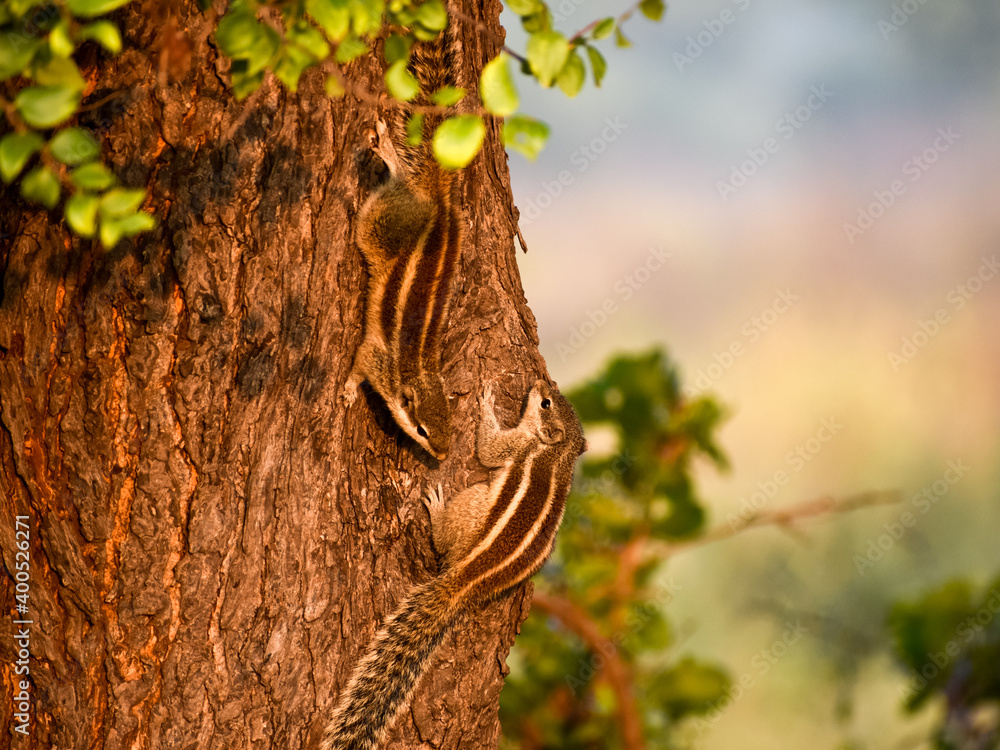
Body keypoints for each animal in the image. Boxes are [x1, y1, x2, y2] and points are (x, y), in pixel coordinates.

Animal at [321, 380, 587, 750]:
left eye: (546, 403)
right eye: (555, 397)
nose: (540, 383)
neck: (558, 453)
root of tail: (468, 579)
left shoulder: (515, 445)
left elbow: (487, 449)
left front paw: (486, 402)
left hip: (471, 504)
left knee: (444, 539)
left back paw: (435, 510)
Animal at [341, 30, 465, 461]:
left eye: (451, 425)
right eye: (422, 429)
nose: (442, 456)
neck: (416, 372)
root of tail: (437, 200)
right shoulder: (375, 357)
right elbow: (359, 364)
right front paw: (348, 390)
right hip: (381, 222)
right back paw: (390, 153)